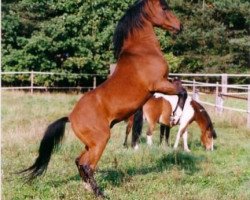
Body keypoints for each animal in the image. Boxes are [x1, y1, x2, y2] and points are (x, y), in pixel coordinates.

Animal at [20, 0, 184, 197]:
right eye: (165, 8)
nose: (180, 26)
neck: (142, 51)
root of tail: (71, 117)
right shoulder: (160, 84)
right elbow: (182, 91)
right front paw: (176, 115)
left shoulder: (162, 84)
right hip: (100, 140)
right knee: (87, 165)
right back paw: (99, 193)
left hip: (90, 144)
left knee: (79, 161)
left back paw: (87, 187)